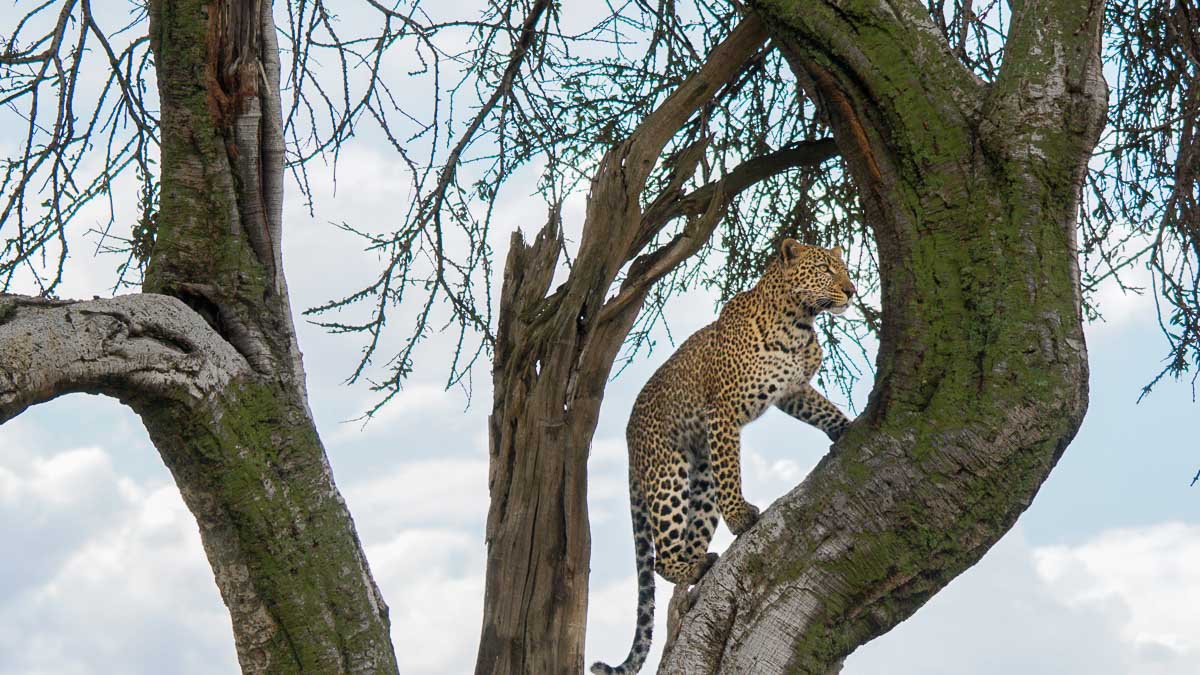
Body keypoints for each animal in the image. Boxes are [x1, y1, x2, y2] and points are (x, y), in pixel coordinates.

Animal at [588, 237, 854, 672]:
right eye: (825, 269)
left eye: (844, 269)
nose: (851, 291)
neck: (798, 322)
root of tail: (628, 438)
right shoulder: (724, 412)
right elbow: (733, 470)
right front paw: (742, 517)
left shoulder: (793, 391)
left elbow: (824, 410)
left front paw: (848, 427)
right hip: (669, 473)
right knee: (661, 557)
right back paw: (692, 564)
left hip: (701, 480)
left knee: (689, 538)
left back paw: (699, 565)